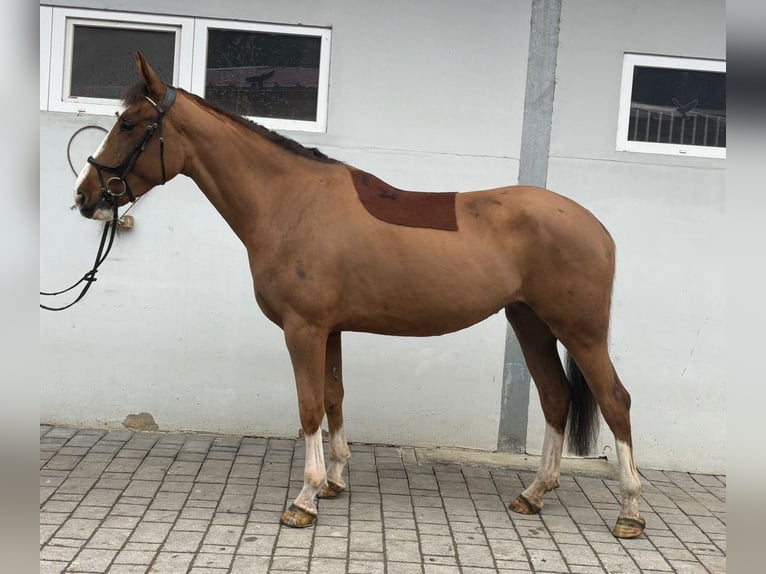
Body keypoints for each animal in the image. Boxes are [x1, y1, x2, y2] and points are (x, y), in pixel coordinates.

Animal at [72, 52, 644, 538]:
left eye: (129, 125)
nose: (84, 197)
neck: (291, 202)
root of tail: (597, 227)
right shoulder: (331, 329)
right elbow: (334, 397)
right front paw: (333, 481)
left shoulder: (303, 329)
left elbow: (308, 407)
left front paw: (303, 500)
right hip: (529, 322)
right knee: (555, 397)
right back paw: (534, 493)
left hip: (580, 331)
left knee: (615, 400)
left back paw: (631, 511)